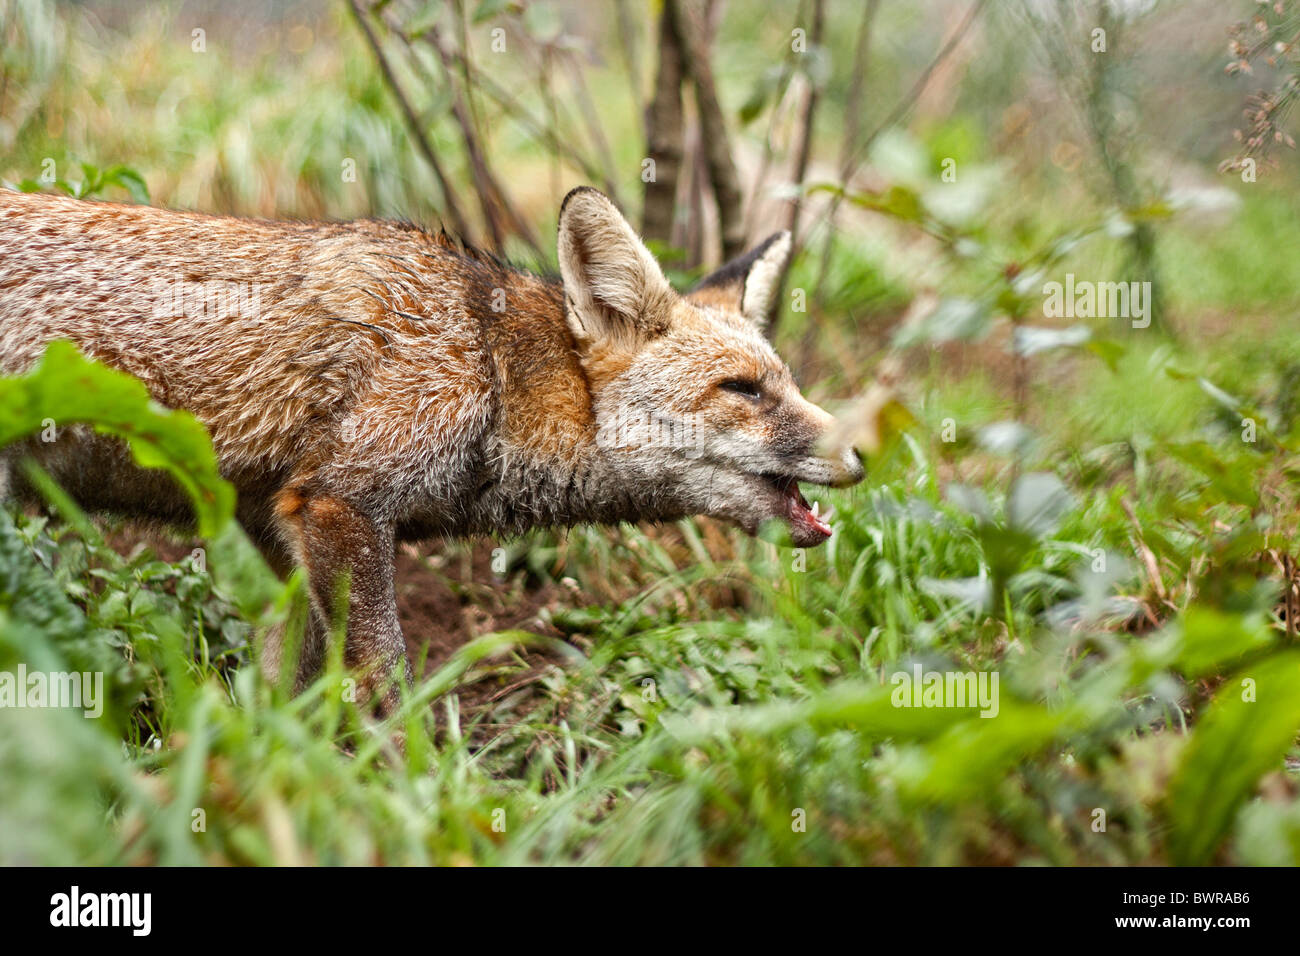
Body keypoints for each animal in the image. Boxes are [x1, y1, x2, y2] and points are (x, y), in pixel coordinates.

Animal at [0, 188, 863, 712]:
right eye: (742, 389)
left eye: (785, 382)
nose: (862, 455)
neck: (489, 365)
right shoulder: (341, 505)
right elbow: (387, 686)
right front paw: (410, 784)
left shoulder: (278, 532)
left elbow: (282, 700)